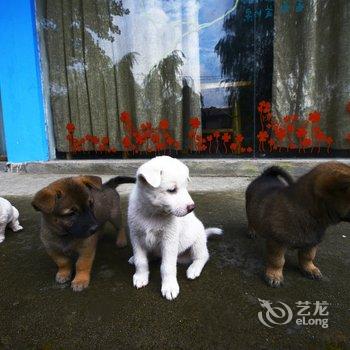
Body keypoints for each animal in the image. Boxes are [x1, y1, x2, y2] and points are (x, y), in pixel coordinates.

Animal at [127, 156, 223, 300]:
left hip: (197, 244)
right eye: (172, 190)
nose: (192, 207)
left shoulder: (169, 240)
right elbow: (141, 260)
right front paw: (140, 276)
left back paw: (194, 269)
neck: (152, 214)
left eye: (185, 187)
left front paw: (169, 287)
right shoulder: (136, 237)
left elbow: (167, 266)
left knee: (203, 257)